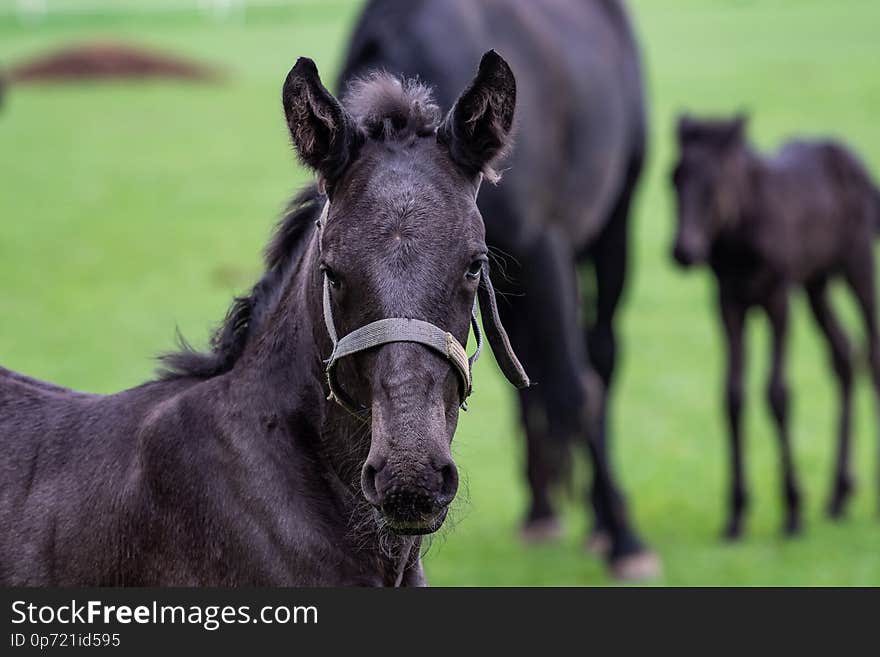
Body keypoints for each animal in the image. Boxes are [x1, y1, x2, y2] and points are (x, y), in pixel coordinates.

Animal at [338, 0, 652, 576]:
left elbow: (576, 389)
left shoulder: (542, 248)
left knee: (600, 354)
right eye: (336, 275)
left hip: (612, 222)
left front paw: (625, 540)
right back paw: (542, 510)